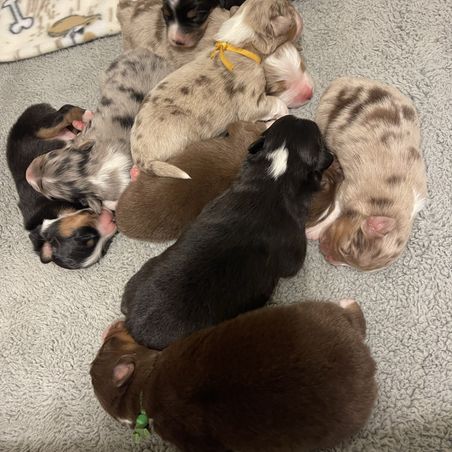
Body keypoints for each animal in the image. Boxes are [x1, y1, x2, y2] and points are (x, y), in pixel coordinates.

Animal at [6, 104, 117, 269]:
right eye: (104, 248)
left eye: (85, 237)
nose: (112, 221)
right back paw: (81, 124)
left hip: (41, 127)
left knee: (64, 112)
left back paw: (86, 115)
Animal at [91, 299, 377, 452]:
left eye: (107, 345)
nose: (115, 325)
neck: (141, 390)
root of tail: (364, 358)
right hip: (319, 312)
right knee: (353, 316)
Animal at [130, 0, 303, 176]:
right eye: (290, 11)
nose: (299, 17)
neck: (237, 44)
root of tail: (140, 158)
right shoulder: (251, 101)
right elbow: (275, 103)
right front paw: (283, 112)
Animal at [306, 77, 428, 271]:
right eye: (346, 249)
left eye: (347, 262)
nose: (327, 257)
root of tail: (344, 81)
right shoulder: (349, 188)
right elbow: (336, 207)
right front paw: (313, 230)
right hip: (324, 117)